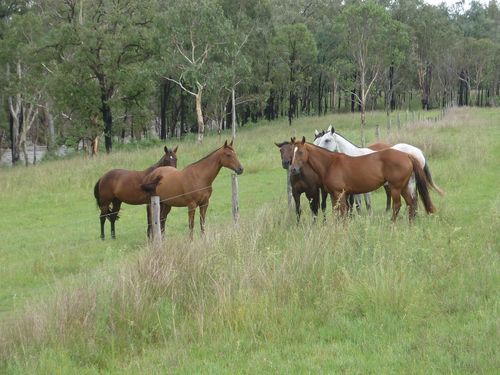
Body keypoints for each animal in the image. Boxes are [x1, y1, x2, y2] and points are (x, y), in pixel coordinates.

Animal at [292, 137, 436, 222]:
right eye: (292, 151)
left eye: (300, 152)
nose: (293, 169)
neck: (330, 164)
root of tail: (407, 155)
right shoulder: (334, 195)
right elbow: (337, 212)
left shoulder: (340, 193)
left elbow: (343, 212)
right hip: (404, 187)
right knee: (411, 203)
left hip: (396, 187)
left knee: (397, 205)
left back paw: (392, 224)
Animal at [314, 126, 444, 214]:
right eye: (316, 141)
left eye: (327, 140)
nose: (318, 151)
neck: (353, 155)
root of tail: (417, 152)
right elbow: (356, 204)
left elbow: (365, 204)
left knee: (413, 199)